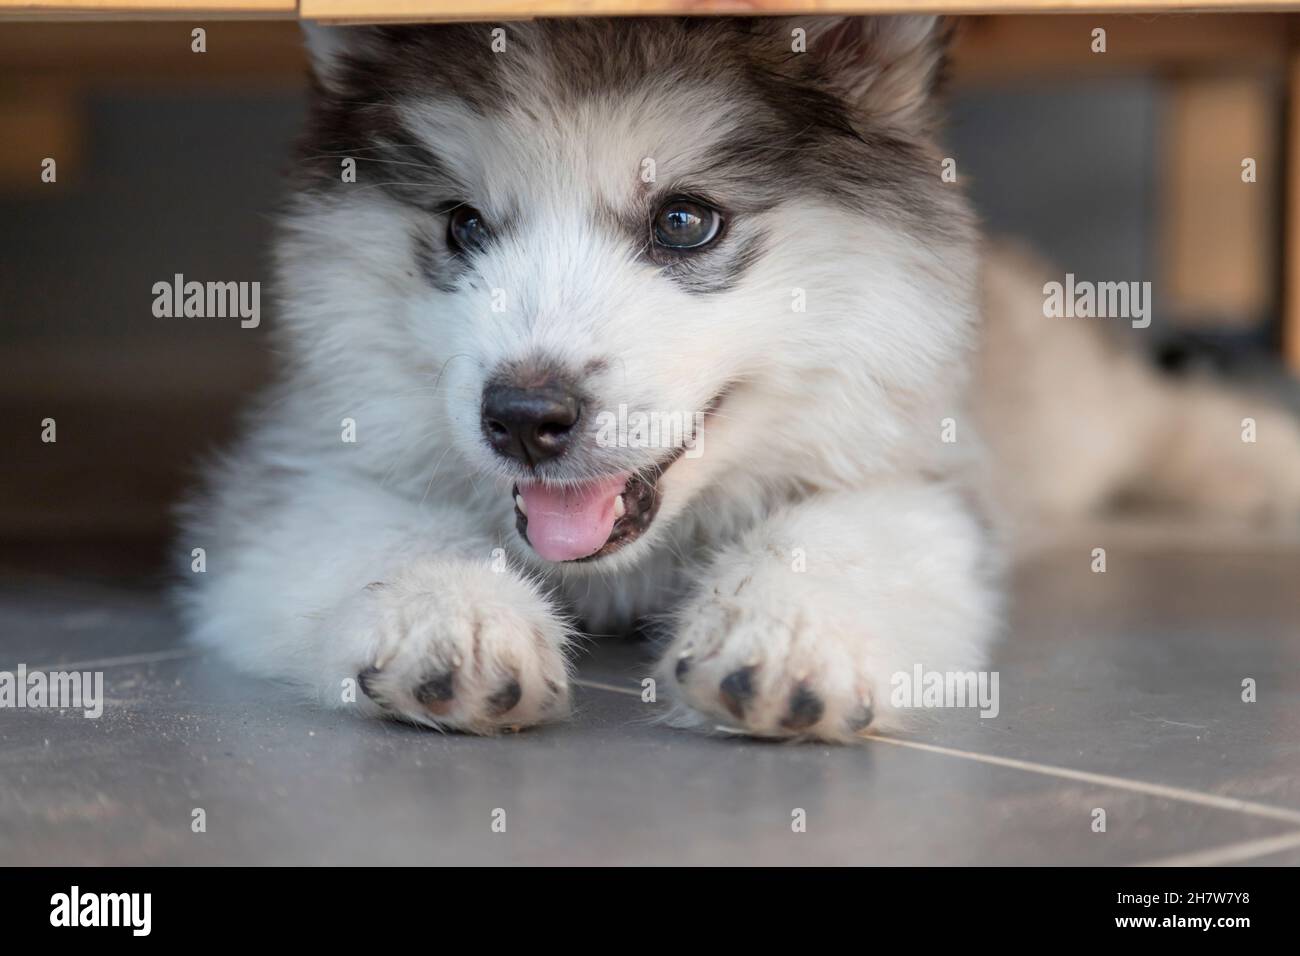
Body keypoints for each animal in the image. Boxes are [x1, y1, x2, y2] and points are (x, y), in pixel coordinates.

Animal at [180, 18, 1300, 743]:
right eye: (462, 225)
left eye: (685, 220)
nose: (524, 418)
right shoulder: (304, 457)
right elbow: (363, 525)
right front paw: (451, 612)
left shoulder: (920, 464)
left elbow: (841, 532)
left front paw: (785, 631)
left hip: (1072, 408)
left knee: (1166, 413)